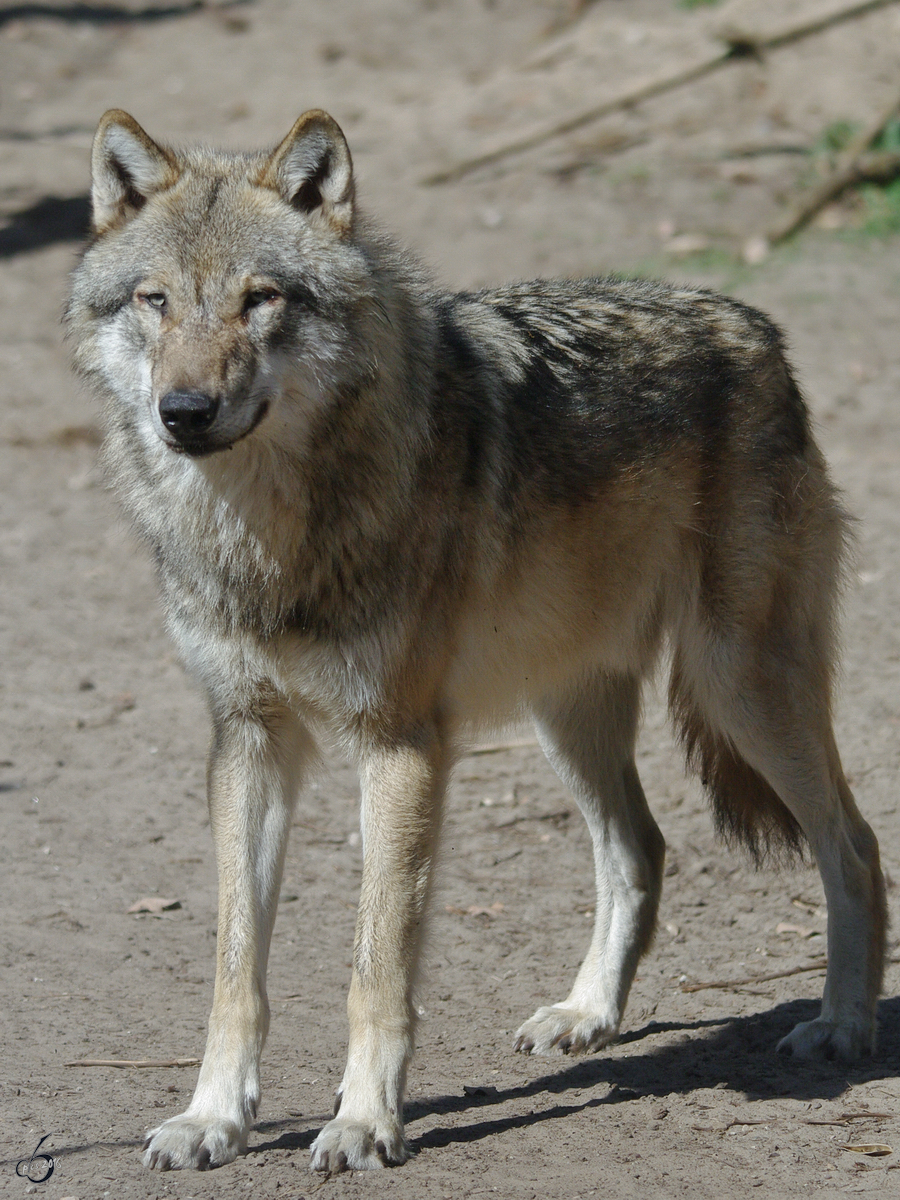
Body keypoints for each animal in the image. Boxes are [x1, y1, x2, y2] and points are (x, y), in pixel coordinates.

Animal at [68, 110, 888, 1171]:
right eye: (156, 301)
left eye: (261, 300)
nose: (184, 412)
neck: (266, 538)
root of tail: (757, 328)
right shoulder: (247, 739)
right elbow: (235, 967)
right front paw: (212, 1118)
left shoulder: (400, 743)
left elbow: (375, 967)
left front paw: (363, 1122)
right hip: (569, 713)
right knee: (641, 848)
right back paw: (588, 1014)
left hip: (740, 688)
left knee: (854, 844)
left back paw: (843, 1025)